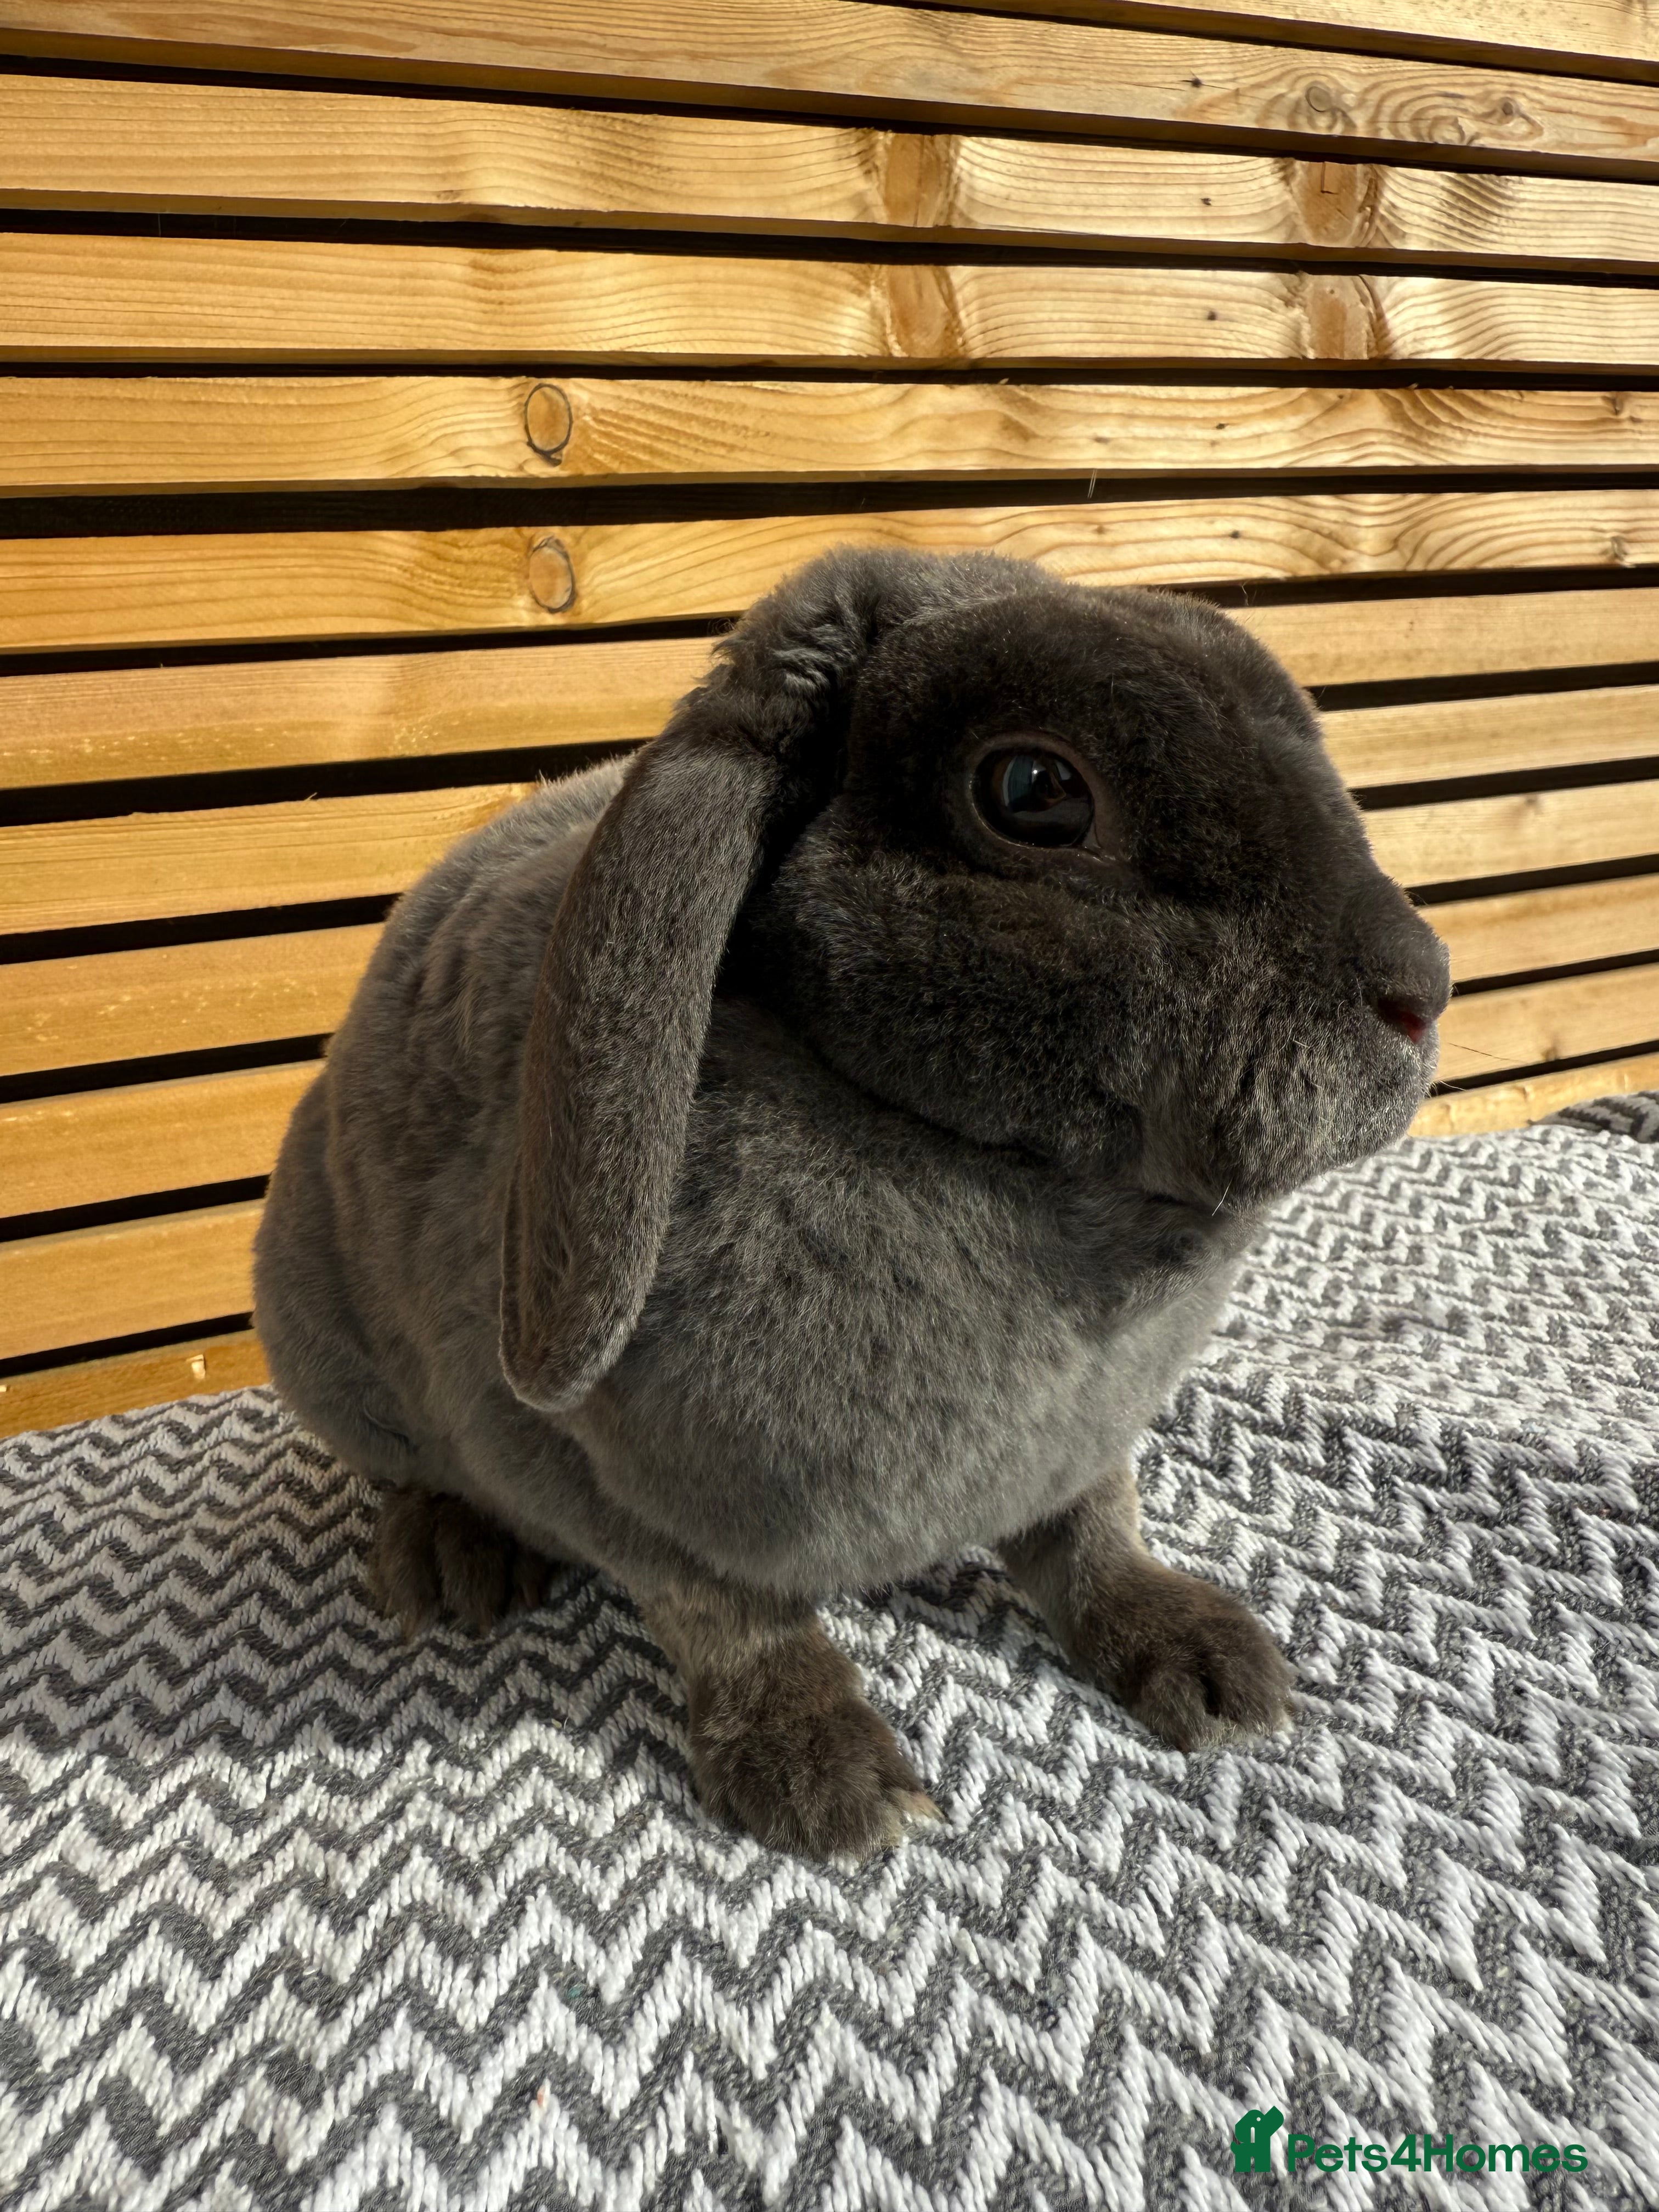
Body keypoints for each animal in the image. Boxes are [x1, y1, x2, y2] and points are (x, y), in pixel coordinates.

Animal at [254, 545, 1450, 1857]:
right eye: (1035, 791)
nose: (1423, 990)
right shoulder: (585, 1478)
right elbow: (726, 1619)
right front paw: (826, 1779)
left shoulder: (1080, 1454)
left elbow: (1091, 1535)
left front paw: (1205, 1661)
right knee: (409, 1470)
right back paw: (454, 1565)